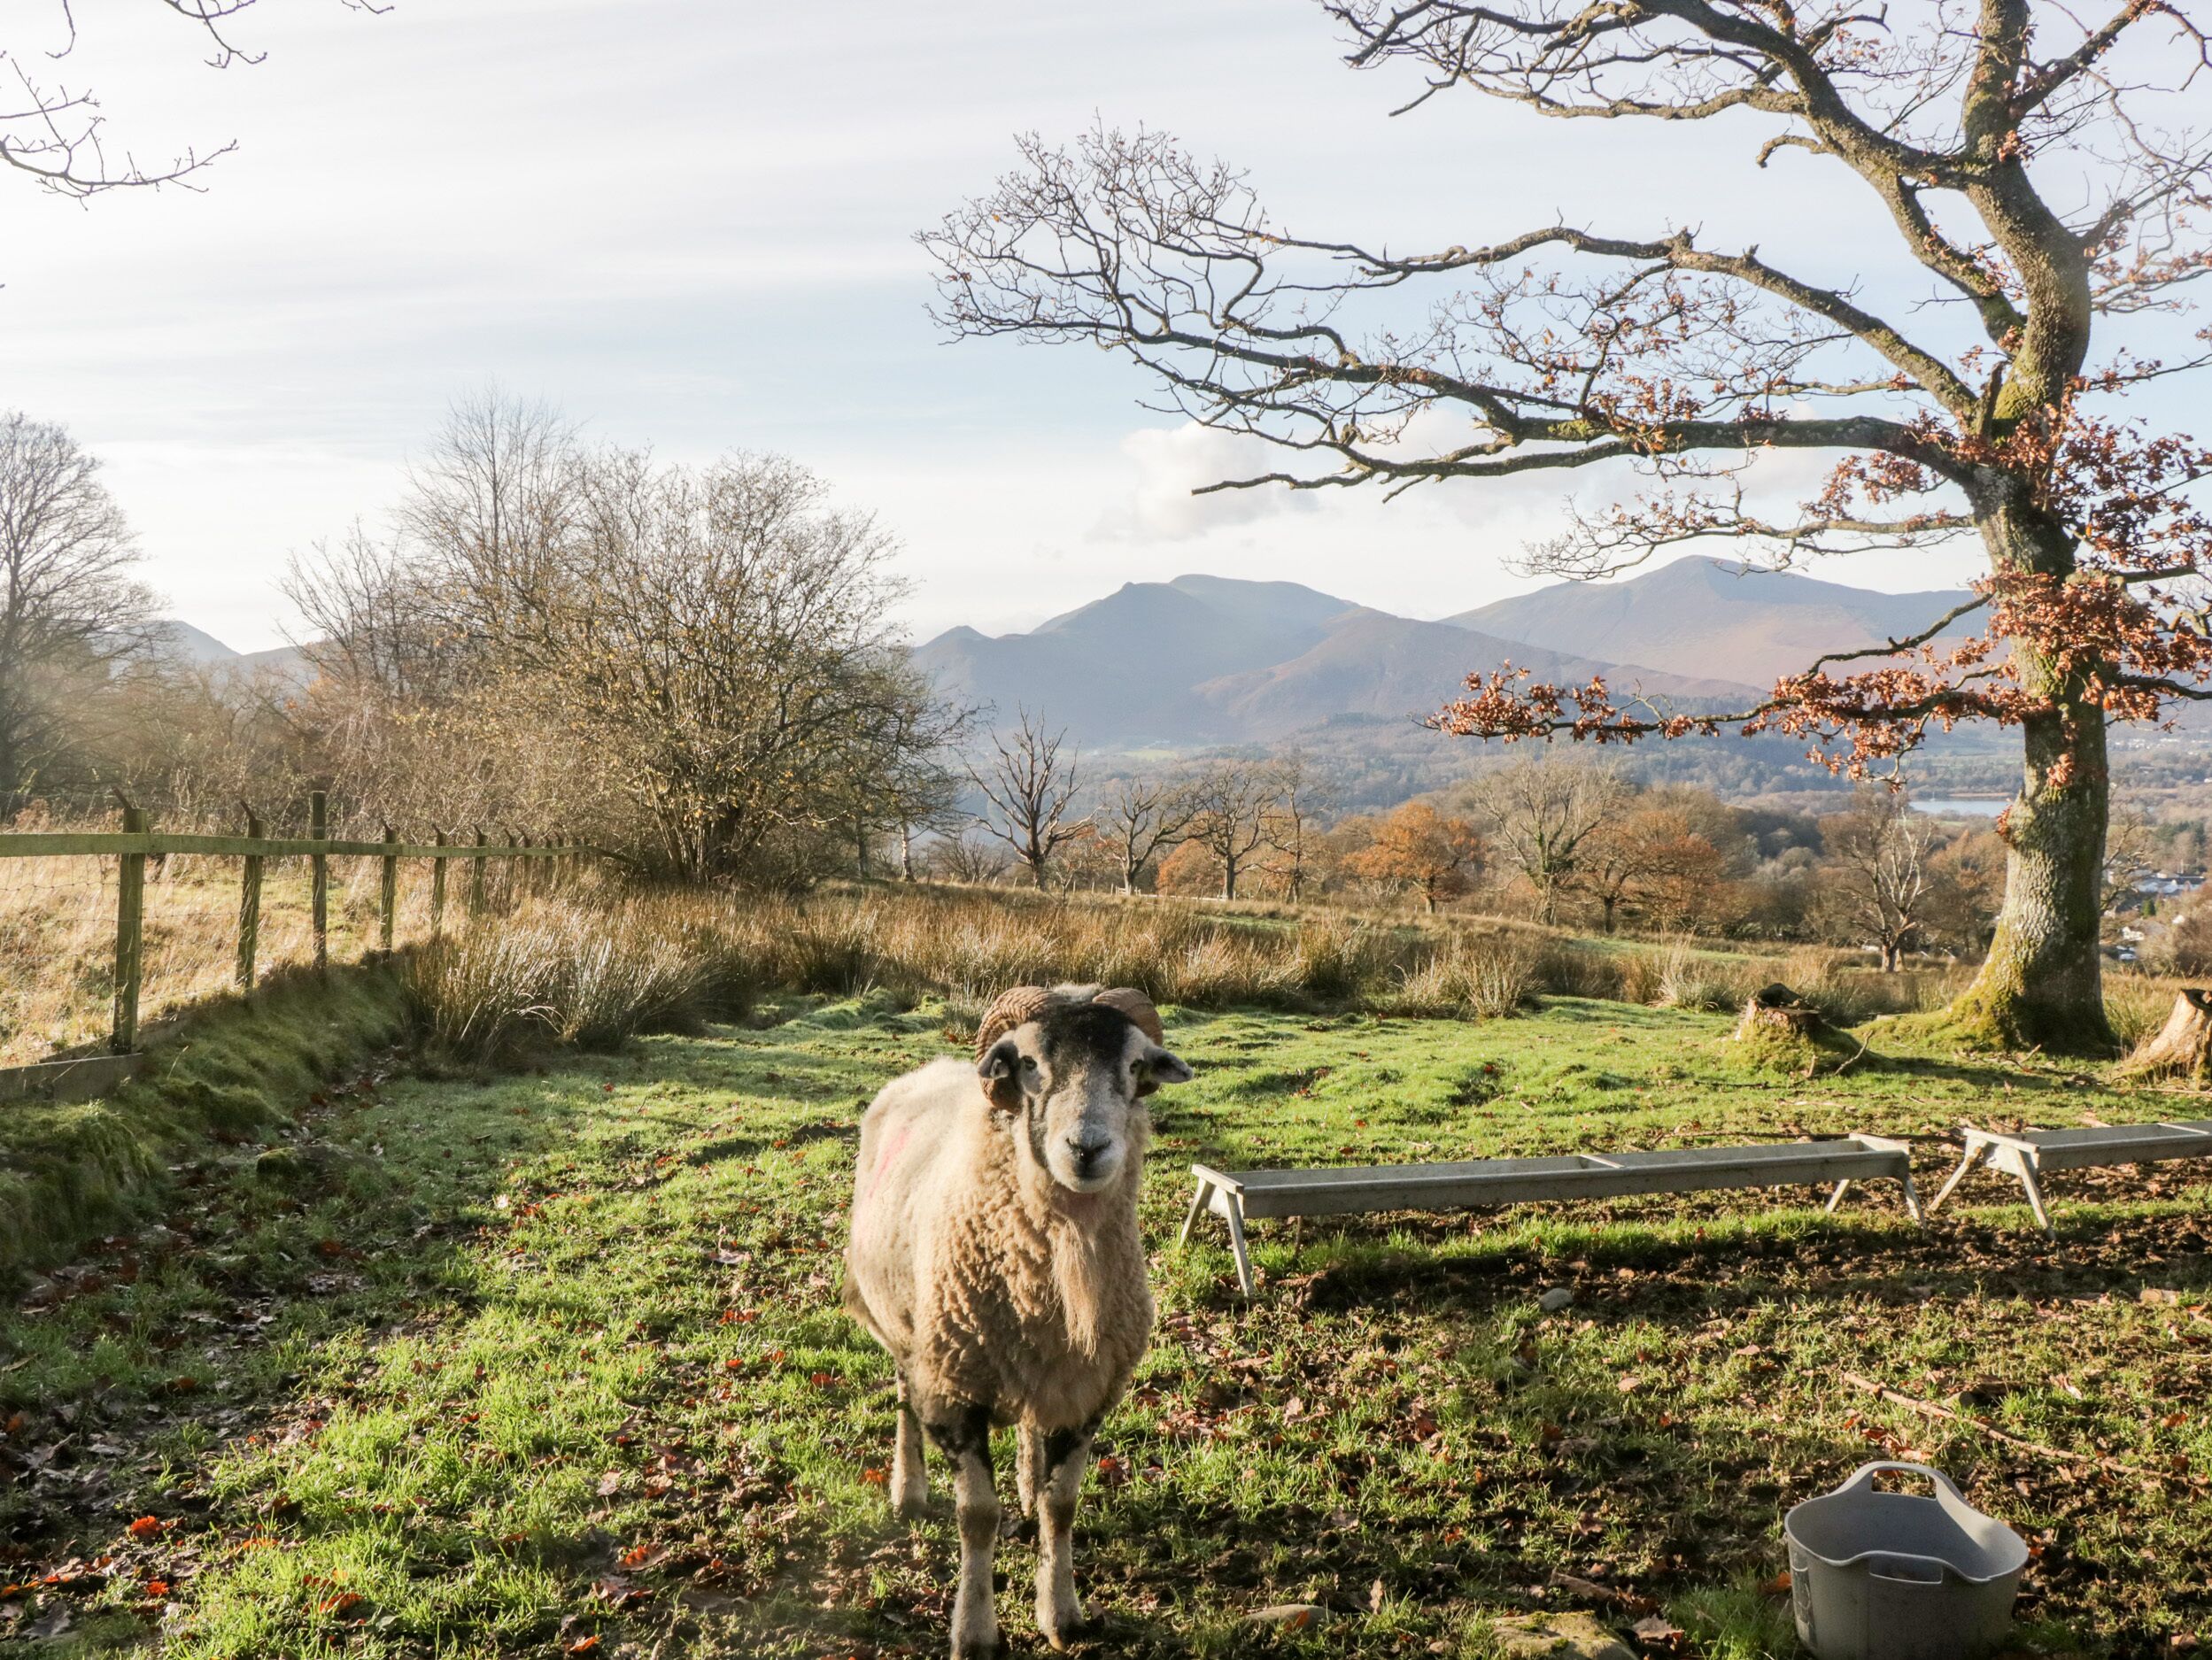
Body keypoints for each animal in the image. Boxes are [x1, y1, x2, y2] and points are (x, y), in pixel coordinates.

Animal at [841, 983, 1193, 1658]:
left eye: (1135, 1065)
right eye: (1029, 1062)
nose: (1087, 1149)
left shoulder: (1090, 1392)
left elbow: (1063, 1504)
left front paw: (1061, 1613)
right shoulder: (953, 1388)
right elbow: (977, 1517)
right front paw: (975, 1631)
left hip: (1039, 1365)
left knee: (1031, 1430)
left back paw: (1026, 1487)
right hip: (907, 1328)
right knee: (902, 1398)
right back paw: (909, 1490)